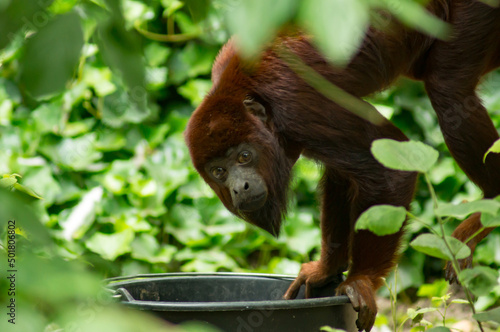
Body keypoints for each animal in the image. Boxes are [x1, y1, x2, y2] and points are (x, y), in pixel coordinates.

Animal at [186, 1, 500, 330]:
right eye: (219, 171)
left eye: (244, 156)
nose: (240, 187)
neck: (250, 97)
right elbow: (344, 174)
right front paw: (325, 269)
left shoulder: (297, 106)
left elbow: (388, 169)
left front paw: (361, 281)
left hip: (474, 13)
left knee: (448, 93)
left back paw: (490, 205)